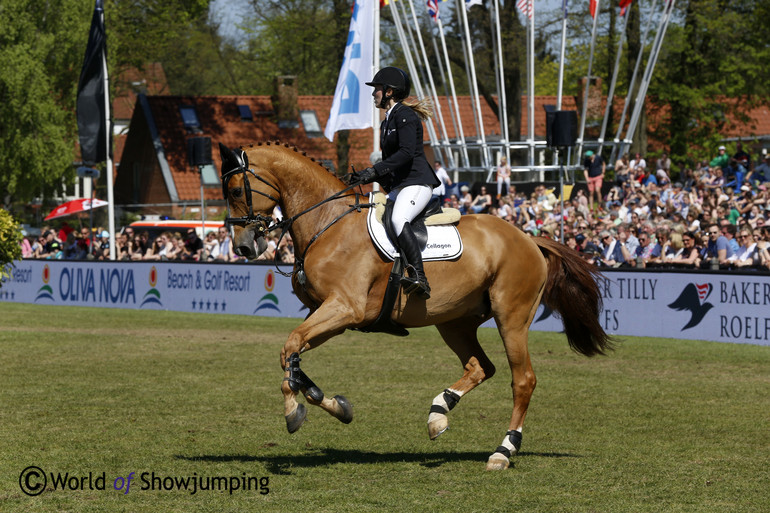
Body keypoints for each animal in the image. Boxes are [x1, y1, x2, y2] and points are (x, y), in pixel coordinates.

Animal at [218, 140, 612, 468]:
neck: (327, 224)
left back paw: (503, 450)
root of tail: (529, 239)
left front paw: (293, 411)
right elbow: (292, 354)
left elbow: (291, 349)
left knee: (523, 380)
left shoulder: (345, 309)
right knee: (480, 367)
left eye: (236, 190)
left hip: (510, 317)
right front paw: (330, 405)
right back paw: (439, 413)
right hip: (454, 321)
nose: (243, 246)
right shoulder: (328, 314)